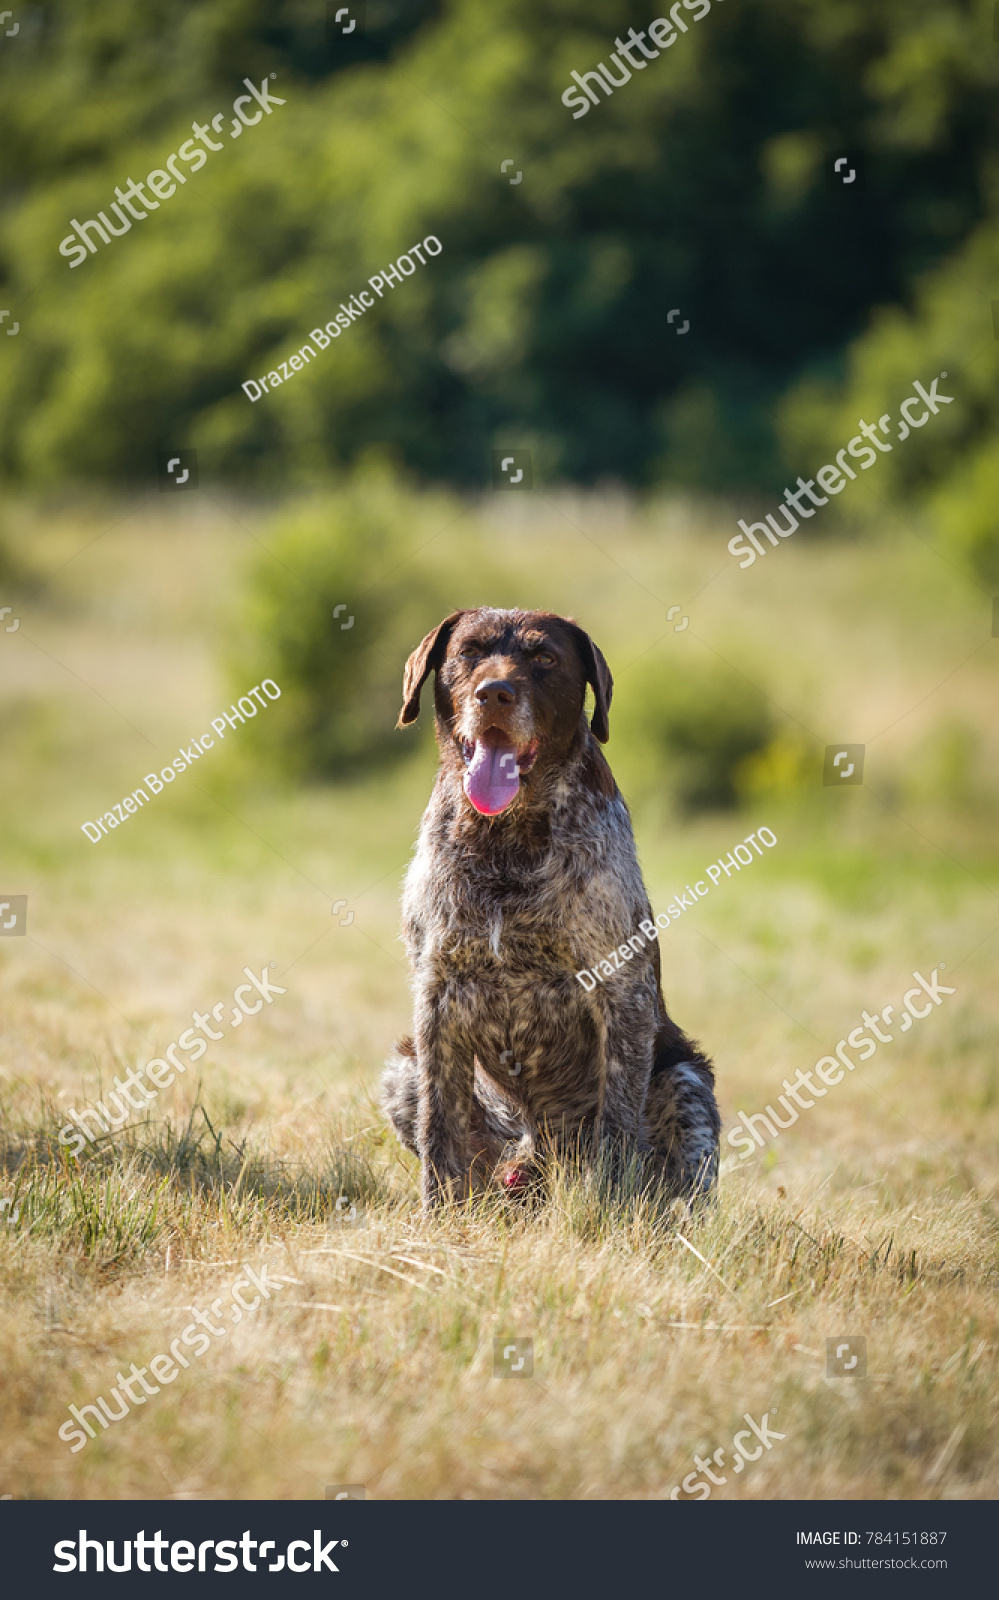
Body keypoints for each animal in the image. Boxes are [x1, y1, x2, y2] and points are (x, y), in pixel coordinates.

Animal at [381, 604, 717, 1203]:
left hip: (687, 1082)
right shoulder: (437, 994)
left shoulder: (622, 992)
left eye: (544, 658)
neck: (505, 840)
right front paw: (438, 1216)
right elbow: (440, 1130)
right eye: (468, 652)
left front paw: (606, 1210)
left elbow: (616, 1124)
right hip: (404, 1071)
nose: (494, 693)